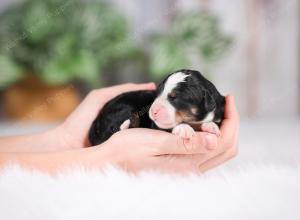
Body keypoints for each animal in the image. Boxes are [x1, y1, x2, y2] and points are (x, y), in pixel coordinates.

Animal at [89, 69, 225, 146]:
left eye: (175, 98)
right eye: (158, 93)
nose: (153, 111)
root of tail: (98, 119)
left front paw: (211, 126)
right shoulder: (156, 125)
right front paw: (184, 129)